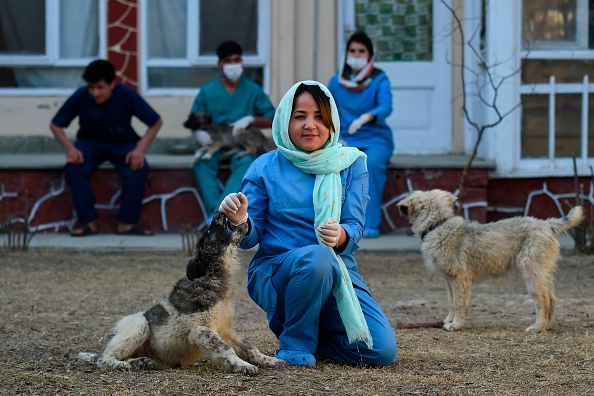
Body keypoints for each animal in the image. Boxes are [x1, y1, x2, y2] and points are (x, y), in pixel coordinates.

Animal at [77, 212, 286, 372]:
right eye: (208, 231)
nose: (217, 213)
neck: (212, 275)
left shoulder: (225, 330)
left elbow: (250, 347)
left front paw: (270, 360)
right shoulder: (201, 330)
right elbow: (226, 350)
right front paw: (242, 366)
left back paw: (140, 362)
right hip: (138, 325)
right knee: (102, 358)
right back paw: (120, 365)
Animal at [396, 190, 580, 332]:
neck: (437, 225)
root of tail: (547, 224)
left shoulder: (460, 279)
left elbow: (459, 303)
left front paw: (456, 325)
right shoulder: (448, 280)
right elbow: (451, 302)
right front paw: (448, 321)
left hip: (531, 273)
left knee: (542, 299)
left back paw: (537, 327)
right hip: (542, 273)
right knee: (551, 297)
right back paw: (546, 326)